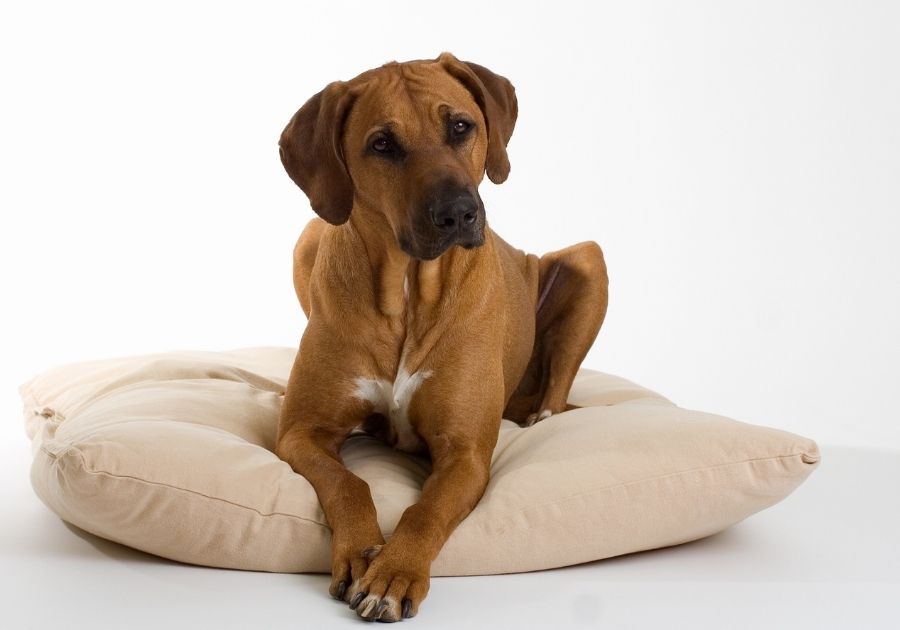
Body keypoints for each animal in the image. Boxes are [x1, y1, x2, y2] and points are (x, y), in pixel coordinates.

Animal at [274, 53, 612, 624]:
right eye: (382, 144)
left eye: (460, 126)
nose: (457, 213)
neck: (409, 293)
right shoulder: (301, 432)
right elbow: (348, 481)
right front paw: (361, 551)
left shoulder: (466, 454)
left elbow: (426, 509)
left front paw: (394, 572)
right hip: (308, 237)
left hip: (589, 260)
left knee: (555, 390)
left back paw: (539, 415)